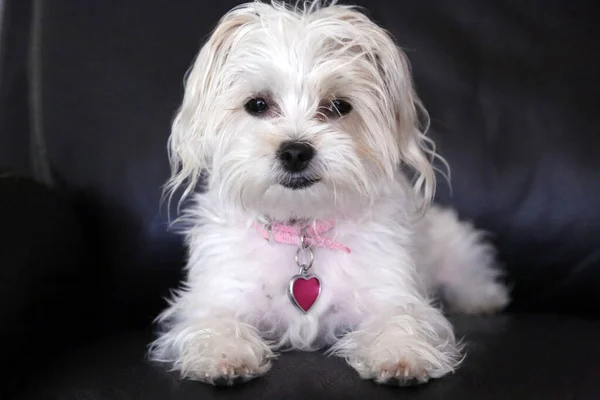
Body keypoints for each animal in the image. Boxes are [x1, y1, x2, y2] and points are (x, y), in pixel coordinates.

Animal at [149, 0, 506, 388]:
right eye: (257, 105)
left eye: (338, 106)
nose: (295, 152)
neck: (303, 228)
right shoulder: (218, 296)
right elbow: (214, 322)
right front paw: (224, 354)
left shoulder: (391, 293)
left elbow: (401, 319)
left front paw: (400, 354)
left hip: (456, 251)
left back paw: (485, 299)